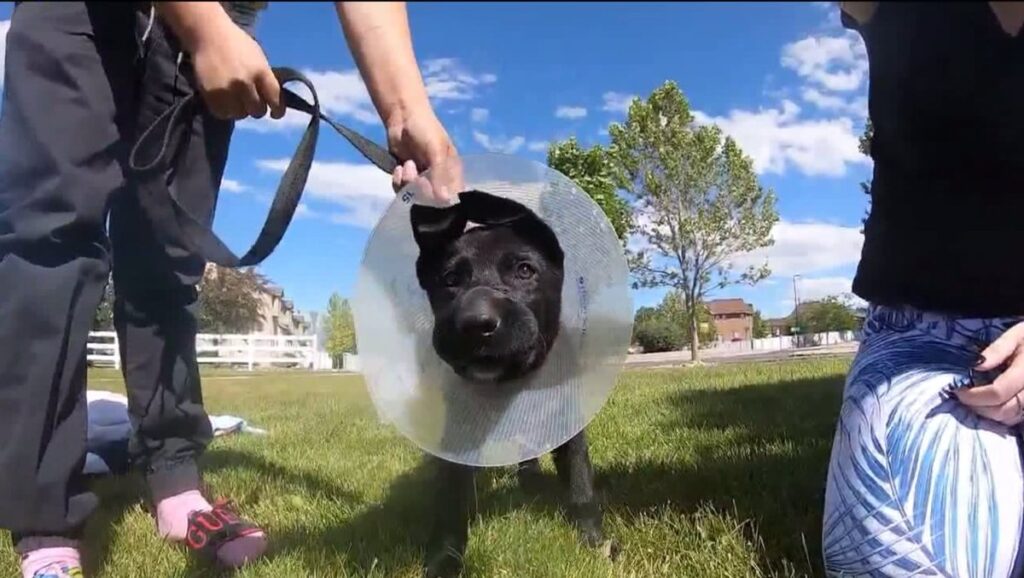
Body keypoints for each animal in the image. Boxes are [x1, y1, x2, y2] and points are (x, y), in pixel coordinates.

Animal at [411, 192, 606, 578]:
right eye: (450, 278)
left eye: (525, 270)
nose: (476, 323)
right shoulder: (457, 440)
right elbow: (451, 502)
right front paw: (444, 560)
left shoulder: (569, 427)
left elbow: (580, 482)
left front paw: (595, 544)